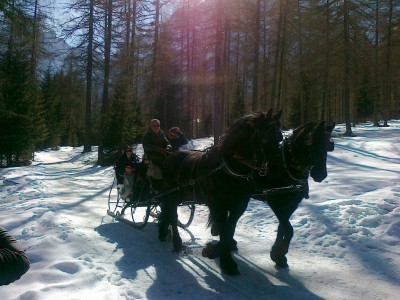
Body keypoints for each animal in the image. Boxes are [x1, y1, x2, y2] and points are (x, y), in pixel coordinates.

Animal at [160, 109, 284, 274]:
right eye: (264, 139)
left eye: (280, 137)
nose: (279, 170)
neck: (228, 169)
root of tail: (170, 156)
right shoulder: (217, 205)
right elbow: (224, 229)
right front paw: (226, 261)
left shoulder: (239, 206)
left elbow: (229, 228)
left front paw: (218, 252)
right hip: (172, 194)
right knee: (173, 216)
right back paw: (177, 243)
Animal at [253, 120, 338, 268]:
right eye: (311, 144)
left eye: (328, 146)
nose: (321, 174)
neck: (285, 166)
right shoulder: (275, 202)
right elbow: (288, 229)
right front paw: (278, 254)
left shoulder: (291, 204)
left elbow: (283, 228)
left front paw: (278, 255)